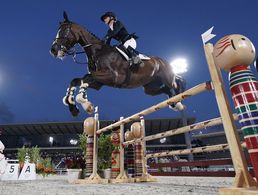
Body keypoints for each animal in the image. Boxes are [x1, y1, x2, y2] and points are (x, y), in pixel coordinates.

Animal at [49, 12, 185, 116]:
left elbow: (85, 79)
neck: (98, 52)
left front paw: (85, 104)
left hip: (167, 78)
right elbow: (76, 80)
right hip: (150, 88)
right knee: (166, 90)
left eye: (65, 30)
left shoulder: (112, 77)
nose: (53, 50)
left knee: (177, 82)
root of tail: (163, 61)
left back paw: (180, 98)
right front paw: (72, 106)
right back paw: (175, 103)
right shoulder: (98, 82)